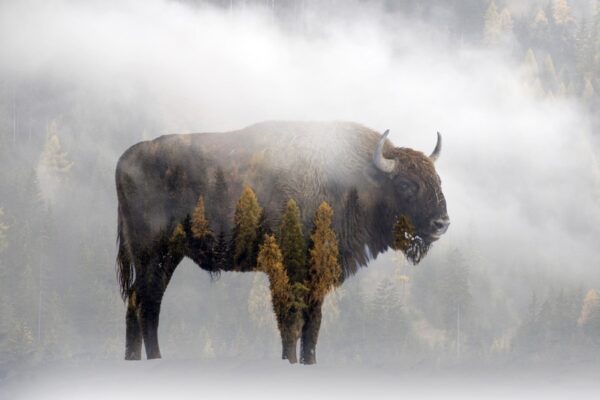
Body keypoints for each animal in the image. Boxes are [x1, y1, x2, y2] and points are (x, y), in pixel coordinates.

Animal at [115, 120, 448, 364]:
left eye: (438, 179)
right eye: (405, 185)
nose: (441, 223)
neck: (353, 180)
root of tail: (125, 159)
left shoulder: (317, 275)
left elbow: (312, 325)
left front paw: (309, 362)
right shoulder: (288, 270)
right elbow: (291, 321)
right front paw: (289, 361)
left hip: (165, 257)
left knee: (139, 300)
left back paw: (136, 358)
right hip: (153, 254)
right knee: (146, 302)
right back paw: (153, 358)